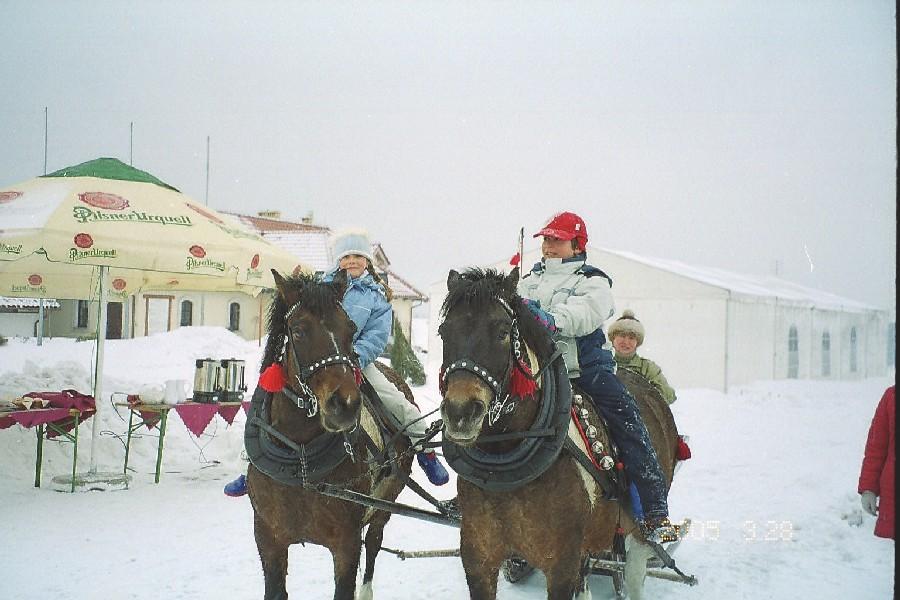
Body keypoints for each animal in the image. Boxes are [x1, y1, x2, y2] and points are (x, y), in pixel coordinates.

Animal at [248, 270, 414, 600]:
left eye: (350, 328)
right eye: (298, 331)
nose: (346, 405)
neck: (299, 459)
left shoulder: (345, 544)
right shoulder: (268, 538)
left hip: (385, 502)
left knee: (373, 542)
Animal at [436, 270, 676, 600]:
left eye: (502, 332)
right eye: (444, 332)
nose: (460, 412)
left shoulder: (561, 564)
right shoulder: (478, 559)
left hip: (637, 532)